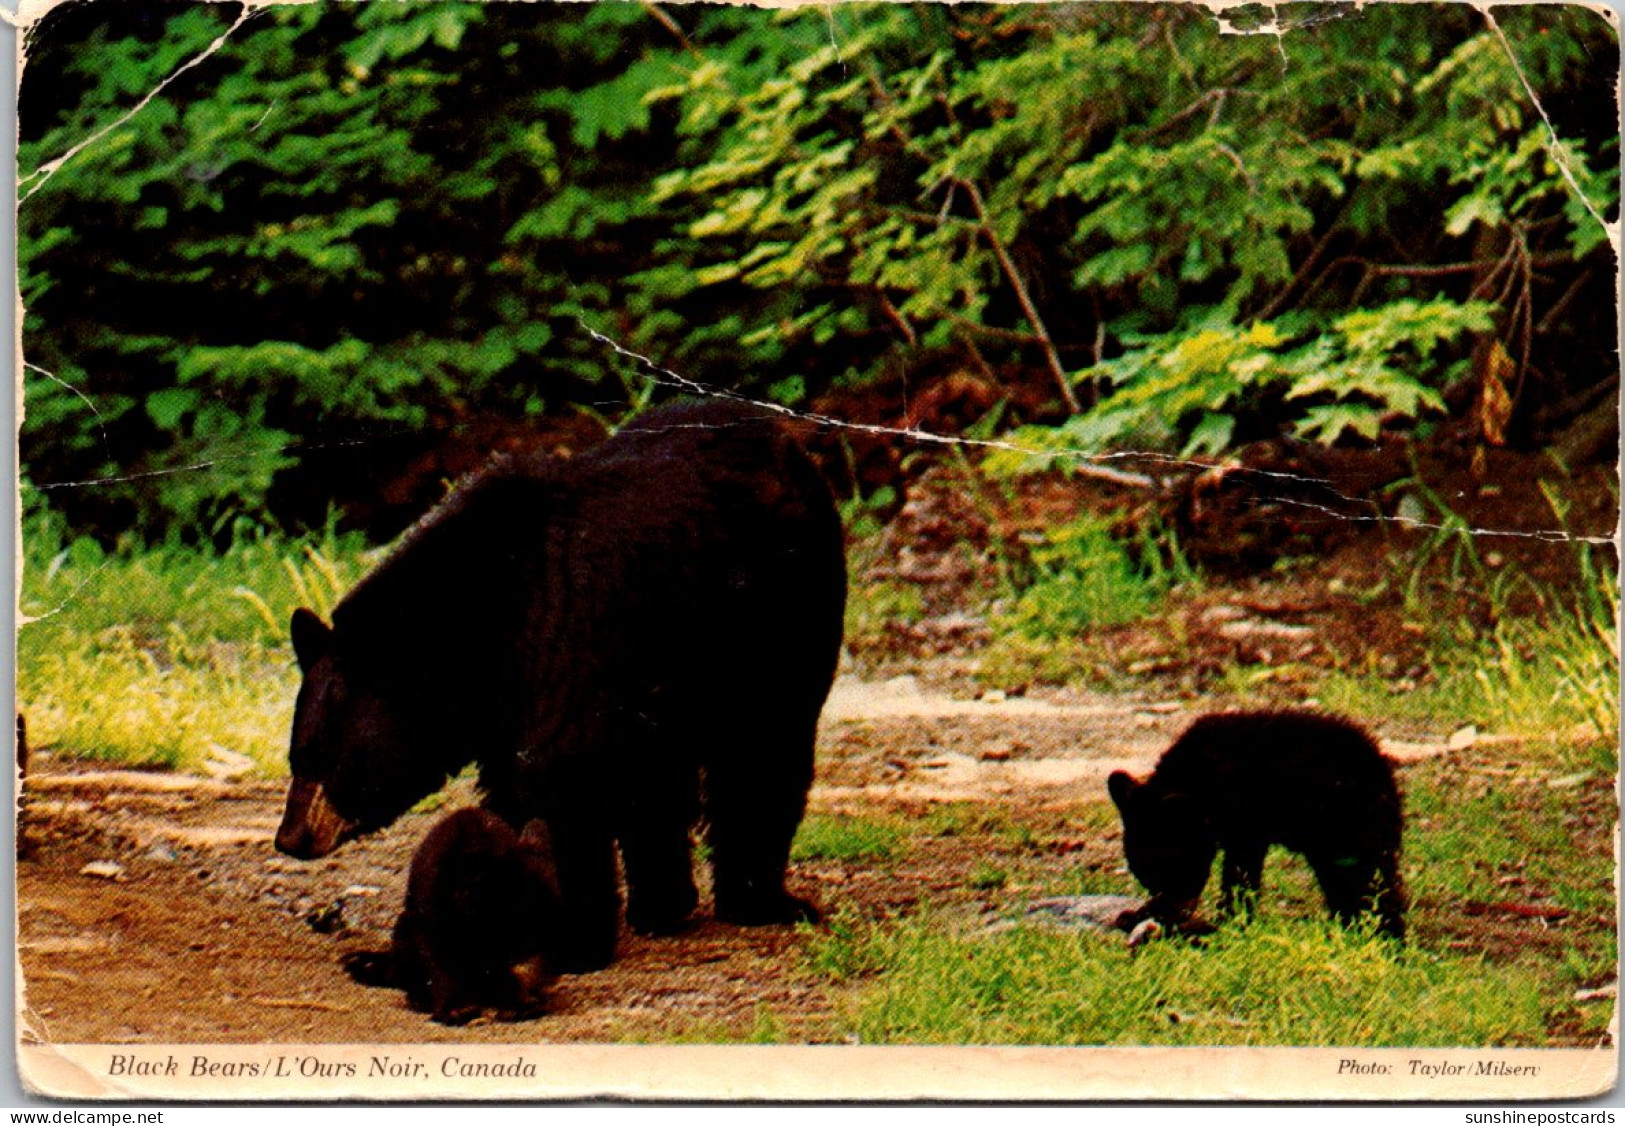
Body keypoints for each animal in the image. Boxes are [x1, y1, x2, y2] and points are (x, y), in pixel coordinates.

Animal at [276, 399, 851, 968]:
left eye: (325, 758)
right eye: (296, 756)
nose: (290, 837)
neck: (482, 623)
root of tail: (783, 441)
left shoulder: (569, 648)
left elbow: (555, 790)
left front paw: (573, 938)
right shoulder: (510, 709)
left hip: (779, 620)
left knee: (766, 749)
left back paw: (758, 900)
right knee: (661, 782)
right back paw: (663, 905)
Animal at [1105, 711, 1410, 942]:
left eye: (1175, 867)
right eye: (1145, 874)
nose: (1176, 909)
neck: (1200, 782)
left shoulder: (1245, 818)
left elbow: (1240, 873)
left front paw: (1228, 919)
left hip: (1348, 830)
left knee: (1367, 883)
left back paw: (1384, 936)